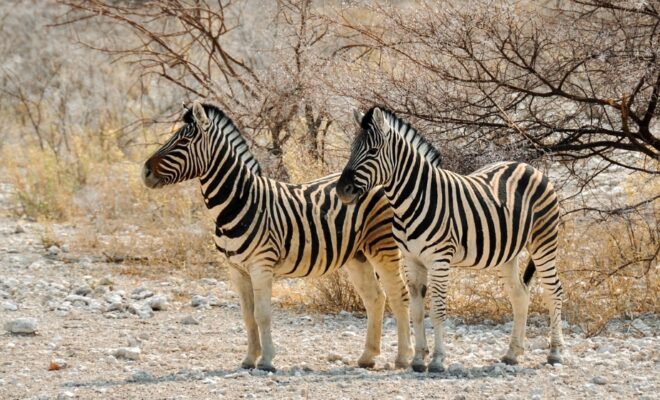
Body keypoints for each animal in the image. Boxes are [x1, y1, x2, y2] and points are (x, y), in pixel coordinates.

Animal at [142, 101, 412, 370]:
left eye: (183, 141)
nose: (144, 172)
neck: (238, 201)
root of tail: (386, 179)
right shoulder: (236, 269)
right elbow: (247, 316)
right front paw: (249, 359)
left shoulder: (261, 265)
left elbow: (262, 314)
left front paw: (267, 360)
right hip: (357, 255)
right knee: (375, 298)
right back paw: (368, 357)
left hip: (383, 246)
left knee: (398, 296)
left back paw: (403, 358)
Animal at [338, 105, 564, 372]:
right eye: (352, 149)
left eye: (372, 151)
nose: (342, 190)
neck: (412, 200)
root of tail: (527, 166)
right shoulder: (412, 260)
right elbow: (417, 310)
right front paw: (418, 359)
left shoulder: (439, 259)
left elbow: (437, 310)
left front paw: (437, 360)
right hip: (509, 252)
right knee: (519, 295)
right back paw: (512, 354)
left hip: (544, 241)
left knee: (554, 291)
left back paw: (555, 352)